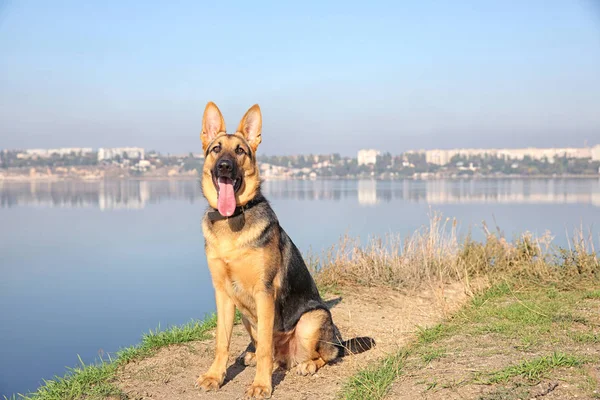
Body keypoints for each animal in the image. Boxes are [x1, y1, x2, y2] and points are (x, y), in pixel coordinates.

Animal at [197, 102, 372, 396]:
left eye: (240, 151)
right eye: (216, 149)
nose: (224, 166)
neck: (233, 221)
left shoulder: (264, 292)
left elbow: (266, 348)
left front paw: (261, 384)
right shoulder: (222, 294)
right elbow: (222, 341)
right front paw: (215, 376)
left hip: (313, 319)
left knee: (326, 355)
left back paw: (307, 364)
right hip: (247, 318)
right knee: (266, 351)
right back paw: (253, 356)